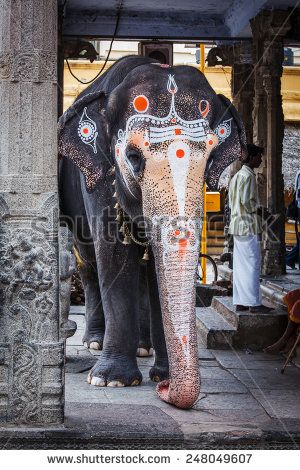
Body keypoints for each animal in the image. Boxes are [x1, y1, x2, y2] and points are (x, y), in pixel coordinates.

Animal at [58, 54, 246, 408]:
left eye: (210, 157)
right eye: (133, 157)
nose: (166, 392)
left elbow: (157, 275)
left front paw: (163, 376)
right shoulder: (101, 179)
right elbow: (114, 255)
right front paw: (110, 381)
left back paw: (143, 348)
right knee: (88, 261)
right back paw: (94, 343)